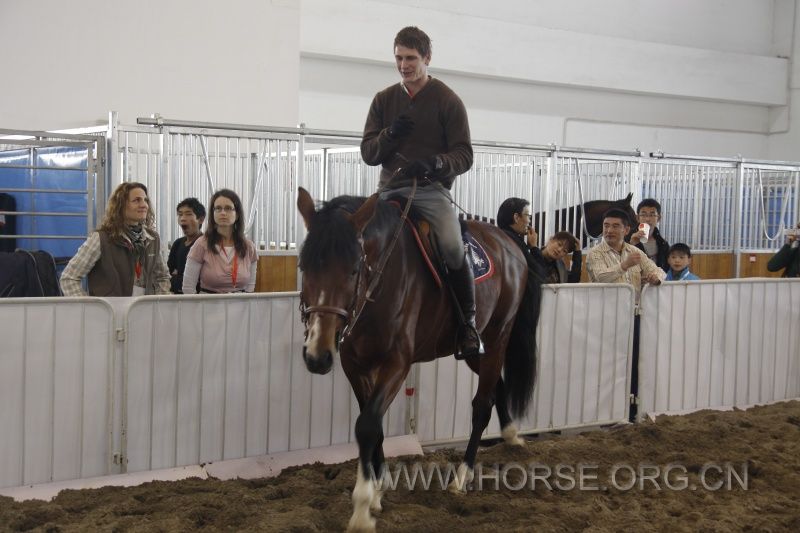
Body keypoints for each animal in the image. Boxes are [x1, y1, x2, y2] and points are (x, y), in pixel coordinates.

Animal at [296, 187, 540, 532]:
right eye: (304, 267)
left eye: (354, 269)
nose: (317, 356)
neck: (381, 281)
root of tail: (510, 242)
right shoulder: (353, 365)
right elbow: (372, 422)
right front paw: (378, 489)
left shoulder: (397, 365)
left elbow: (367, 425)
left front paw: (363, 508)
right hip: (474, 351)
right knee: (496, 387)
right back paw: (511, 434)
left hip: (497, 338)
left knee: (481, 406)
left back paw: (461, 478)